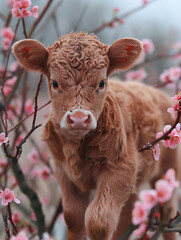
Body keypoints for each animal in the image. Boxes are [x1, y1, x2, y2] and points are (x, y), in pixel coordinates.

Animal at [12, 32, 179, 240]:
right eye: (55, 83)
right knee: (127, 214)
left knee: (166, 212)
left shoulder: (121, 168)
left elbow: (98, 222)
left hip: (168, 169)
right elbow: (73, 217)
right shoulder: (62, 170)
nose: (78, 119)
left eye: (101, 83)